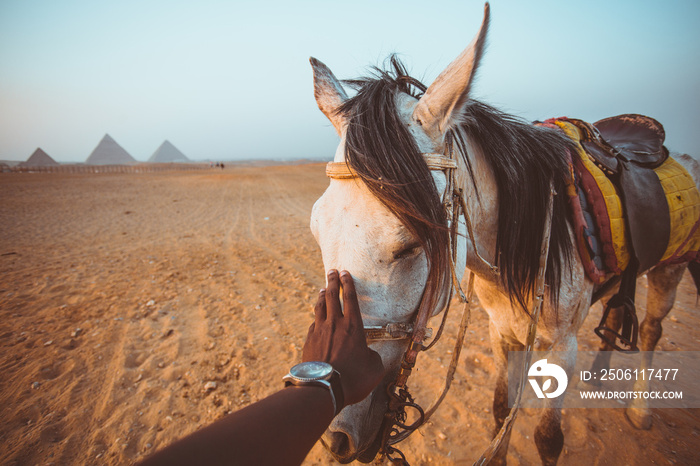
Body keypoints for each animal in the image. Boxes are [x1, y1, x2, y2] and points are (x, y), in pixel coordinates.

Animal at [308, 4, 696, 466]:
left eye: (410, 245)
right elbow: (500, 411)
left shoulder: (563, 345)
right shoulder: (503, 335)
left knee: (652, 328)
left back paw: (640, 410)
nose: (336, 438)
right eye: (317, 231)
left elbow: (548, 438)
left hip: (672, 268)